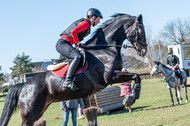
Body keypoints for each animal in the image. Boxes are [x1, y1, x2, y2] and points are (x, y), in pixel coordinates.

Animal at [0, 13, 147, 125]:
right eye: (140, 31)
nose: (144, 51)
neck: (105, 49)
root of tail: (24, 85)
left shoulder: (117, 73)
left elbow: (136, 76)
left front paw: (131, 97)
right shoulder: (110, 77)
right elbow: (136, 76)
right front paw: (131, 97)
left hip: (39, 111)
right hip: (30, 113)